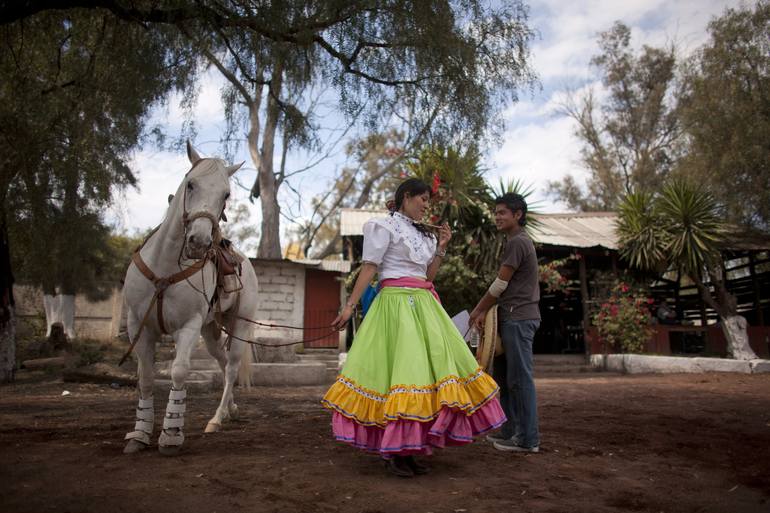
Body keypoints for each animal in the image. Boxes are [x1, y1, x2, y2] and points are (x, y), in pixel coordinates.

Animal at [123, 143, 258, 456]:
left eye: (226, 194)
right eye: (191, 184)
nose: (199, 241)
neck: (164, 268)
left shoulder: (187, 327)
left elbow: (179, 372)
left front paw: (170, 435)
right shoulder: (138, 326)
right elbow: (145, 377)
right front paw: (139, 433)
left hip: (239, 326)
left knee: (231, 367)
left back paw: (217, 418)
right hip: (210, 331)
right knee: (221, 360)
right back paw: (231, 409)